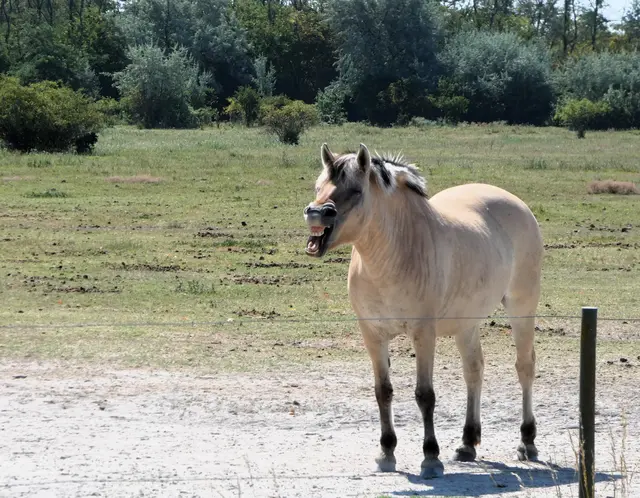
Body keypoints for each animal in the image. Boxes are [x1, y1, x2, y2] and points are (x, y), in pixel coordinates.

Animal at [302, 143, 544, 479]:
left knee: (524, 367)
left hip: (522, 307)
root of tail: (517, 203)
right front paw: (386, 453)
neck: (393, 254)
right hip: (466, 323)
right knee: (474, 370)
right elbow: (383, 391)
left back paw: (527, 442)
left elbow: (424, 395)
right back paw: (467, 443)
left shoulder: (423, 333)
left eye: (355, 190)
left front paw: (430, 457)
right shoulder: (373, 335)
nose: (315, 213)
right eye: (319, 186)